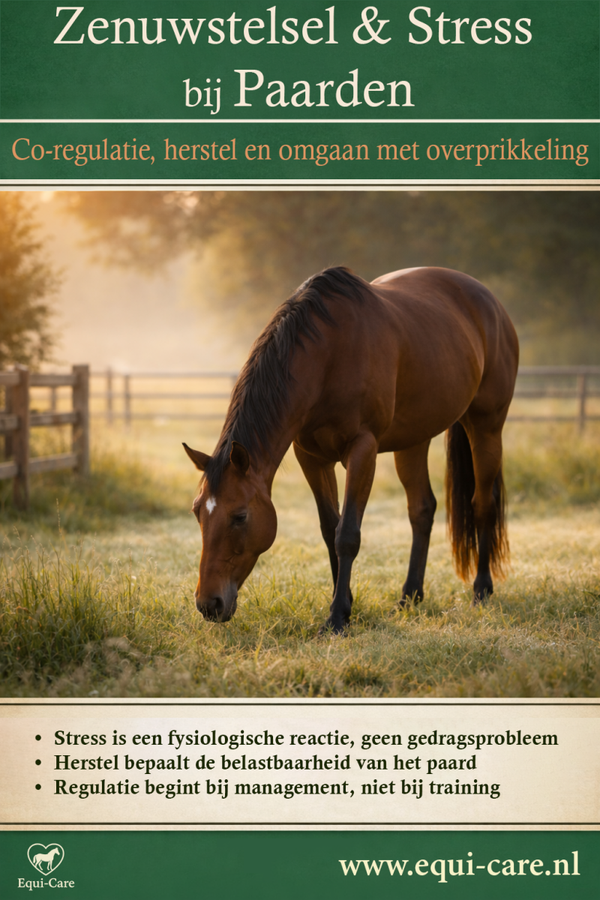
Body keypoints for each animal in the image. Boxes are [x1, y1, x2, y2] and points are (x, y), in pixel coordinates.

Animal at [184, 266, 519, 633]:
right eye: (197, 512)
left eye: (240, 516)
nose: (208, 604)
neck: (328, 356)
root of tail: (491, 302)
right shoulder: (312, 458)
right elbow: (329, 529)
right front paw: (343, 603)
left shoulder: (362, 450)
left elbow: (347, 534)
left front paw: (337, 617)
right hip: (414, 441)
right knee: (422, 509)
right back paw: (410, 596)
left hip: (486, 427)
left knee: (482, 505)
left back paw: (481, 590)